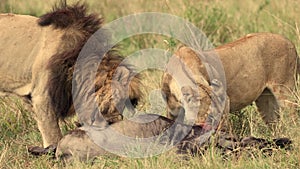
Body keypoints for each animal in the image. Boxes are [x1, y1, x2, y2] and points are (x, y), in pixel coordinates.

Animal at [163, 32, 298, 125]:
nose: (203, 125)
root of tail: (290, 42)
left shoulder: (225, 101)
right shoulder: (171, 111)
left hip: (285, 90)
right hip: (265, 99)